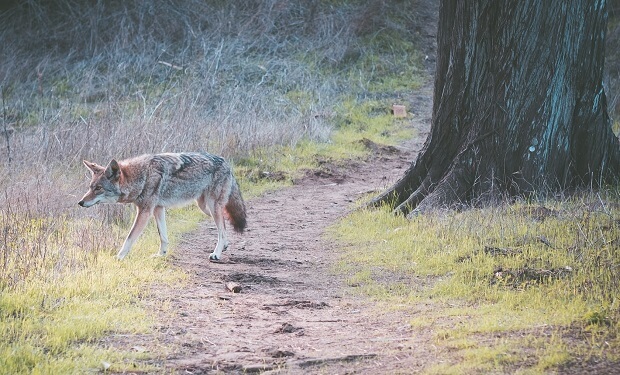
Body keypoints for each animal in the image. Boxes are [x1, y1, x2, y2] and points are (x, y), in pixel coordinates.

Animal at [75, 153, 245, 262]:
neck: (140, 177)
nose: (80, 202)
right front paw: (161, 255)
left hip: (212, 206)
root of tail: (226, 163)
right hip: (206, 208)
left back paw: (216, 253)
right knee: (224, 224)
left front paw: (118, 258)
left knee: (222, 228)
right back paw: (224, 246)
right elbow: (163, 236)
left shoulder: (145, 211)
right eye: (90, 188)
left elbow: (129, 238)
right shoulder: (158, 209)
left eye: (98, 189)